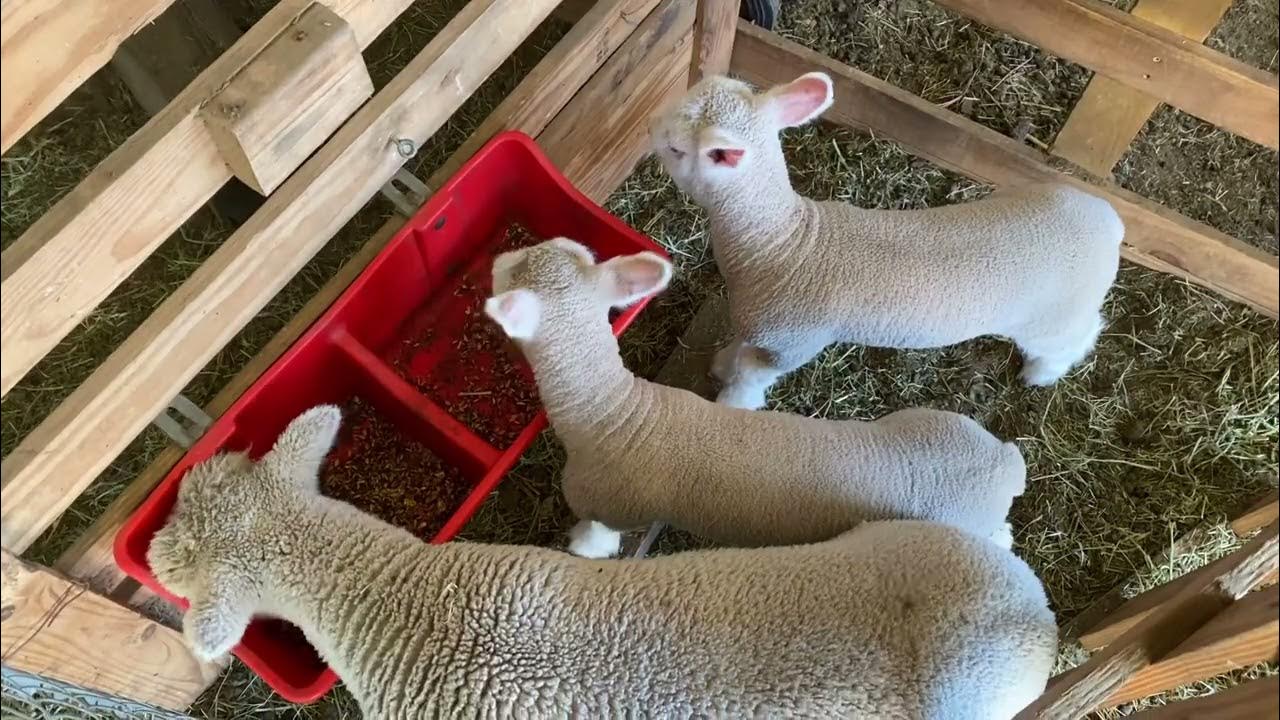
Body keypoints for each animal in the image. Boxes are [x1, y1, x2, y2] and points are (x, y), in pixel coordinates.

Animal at [483, 238, 1025, 559]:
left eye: (510, 273)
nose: (496, 257)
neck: (610, 412)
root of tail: (1001, 464)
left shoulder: (605, 504)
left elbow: (597, 538)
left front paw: (580, 546)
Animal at [647, 72, 1124, 410]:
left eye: (675, 149)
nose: (650, 132)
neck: (779, 243)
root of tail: (1109, 220)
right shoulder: (764, 329)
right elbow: (738, 351)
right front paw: (720, 365)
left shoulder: (792, 343)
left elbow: (750, 378)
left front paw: (732, 402)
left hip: (1053, 316)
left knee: (1078, 336)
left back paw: (1043, 373)